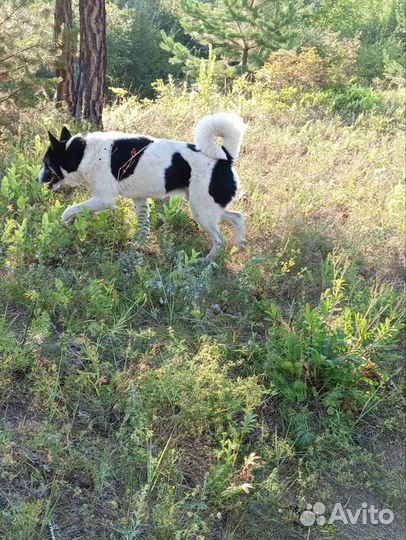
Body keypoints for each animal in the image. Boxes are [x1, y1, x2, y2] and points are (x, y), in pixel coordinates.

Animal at [38, 112, 246, 260]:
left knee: (219, 240)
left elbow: (71, 209)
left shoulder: (103, 200)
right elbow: (143, 227)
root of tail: (225, 158)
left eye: (46, 163)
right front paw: (137, 245)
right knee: (238, 217)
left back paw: (207, 262)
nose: (36, 179)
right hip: (206, 206)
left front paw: (63, 222)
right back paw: (241, 243)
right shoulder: (140, 199)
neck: (81, 153)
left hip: (201, 210)